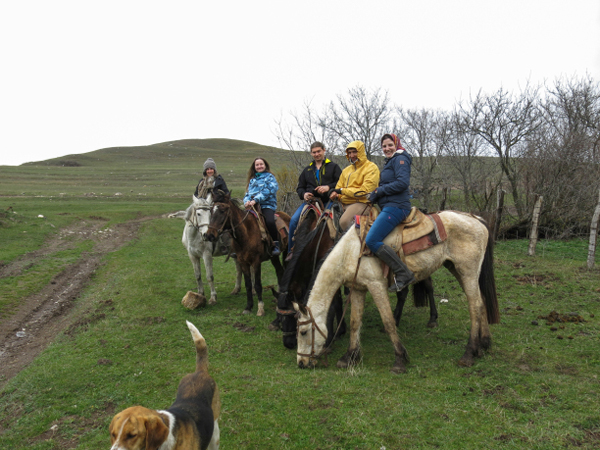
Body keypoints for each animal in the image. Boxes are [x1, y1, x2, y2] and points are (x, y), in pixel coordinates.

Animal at [292, 211, 500, 372]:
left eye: (303, 332)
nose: (301, 362)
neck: (351, 252)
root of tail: (476, 218)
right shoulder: (358, 288)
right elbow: (354, 322)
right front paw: (349, 357)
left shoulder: (376, 285)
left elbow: (389, 321)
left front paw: (400, 359)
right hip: (457, 269)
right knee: (480, 302)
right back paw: (484, 344)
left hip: (468, 271)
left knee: (475, 306)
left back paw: (469, 353)